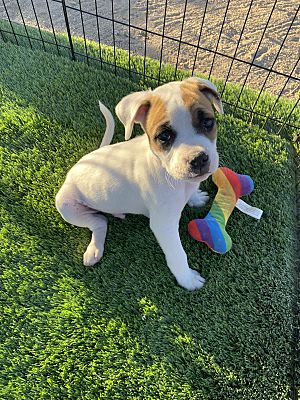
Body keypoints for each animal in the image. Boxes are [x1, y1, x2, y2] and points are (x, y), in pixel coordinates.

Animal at [56, 77, 224, 290]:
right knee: (99, 222)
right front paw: (187, 279)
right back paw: (94, 249)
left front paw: (195, 197)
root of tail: (81, 163)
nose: (199, 159)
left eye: (207, 122)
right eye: (164, 136)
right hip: (65, 204)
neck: (166, 171)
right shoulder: (163, 224)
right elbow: (178, 254)